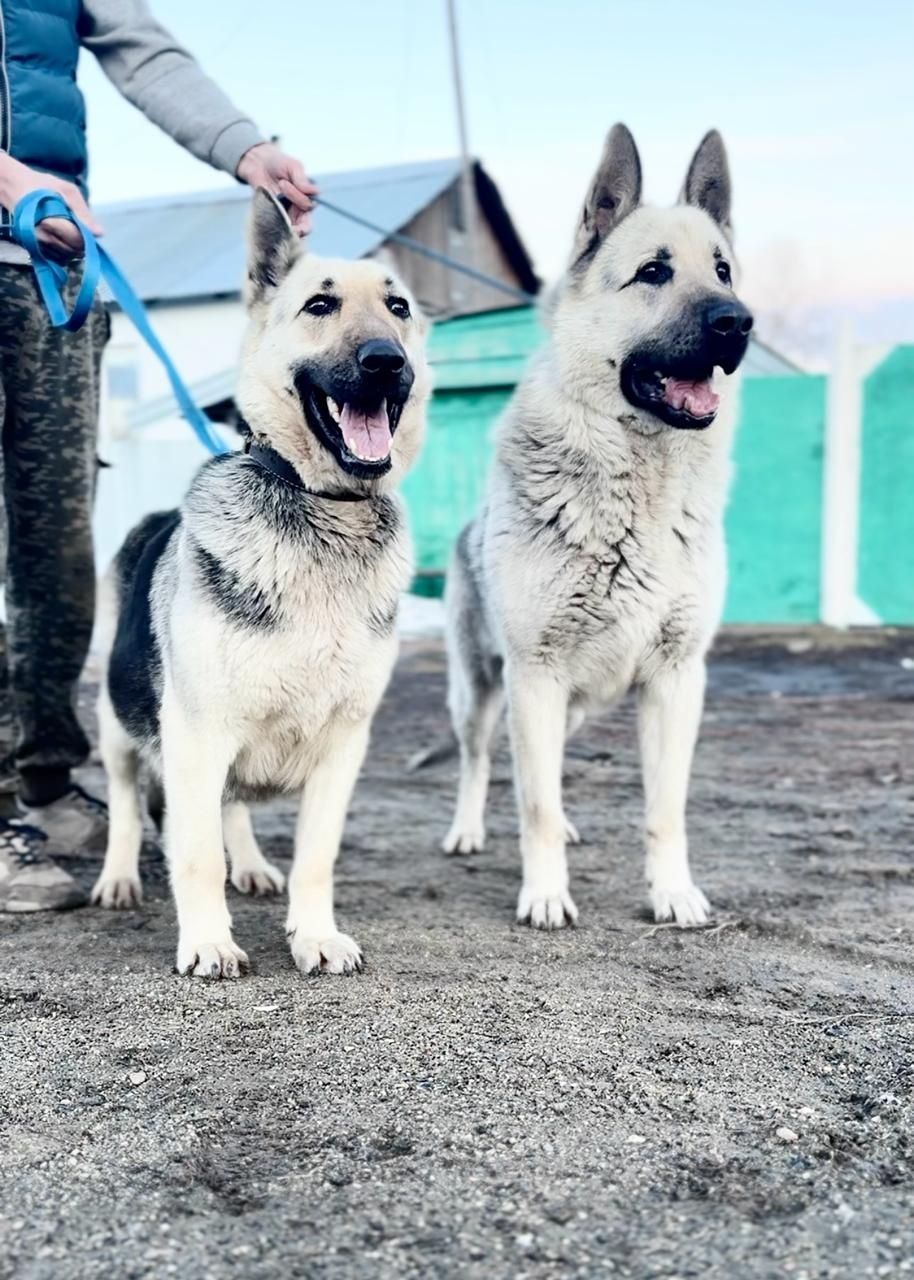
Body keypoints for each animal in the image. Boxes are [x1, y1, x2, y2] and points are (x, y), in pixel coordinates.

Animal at [93, 189, 430, 972]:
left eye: (398, 308)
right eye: (319, 305)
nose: (386, 362)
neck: (323, 509)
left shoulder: (343, 747)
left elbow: (315, 857)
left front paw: (314, 934)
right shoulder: (197, 736)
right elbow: (193, 854)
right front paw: (208, 941)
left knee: (233, 809)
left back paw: (250, 864)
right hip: (118, 724)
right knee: (127, 804)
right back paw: (119, 877)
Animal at [440, 124, 747, 931]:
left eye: (724, 271)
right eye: (652, 273)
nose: (739, 321)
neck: (638, 491)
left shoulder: (676, 682)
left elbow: (663, 808)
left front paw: (672, 892)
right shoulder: (535, 676)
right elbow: (535, 805)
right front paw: (546, 893)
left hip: (567, 706)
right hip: (483, 693)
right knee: (482, 762)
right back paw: (468, 829)